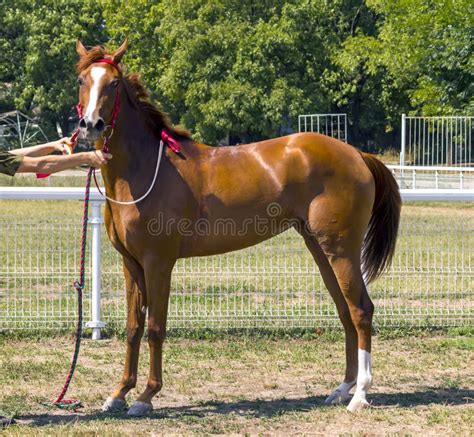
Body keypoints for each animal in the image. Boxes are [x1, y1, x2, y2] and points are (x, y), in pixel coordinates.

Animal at [75, 39, 400, 414]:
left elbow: (155, 326)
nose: (91, 124)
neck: (145, 170)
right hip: (321, 249)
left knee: (361, 310)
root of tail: (356, 154)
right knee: (345, 310)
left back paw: (360, 394)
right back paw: (341, 388)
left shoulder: (159, 263)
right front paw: (119, 393)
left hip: (341, 250)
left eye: (113, 83)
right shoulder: (131, 264)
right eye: (82, 79)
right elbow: (133, 327)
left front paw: (145, 397)